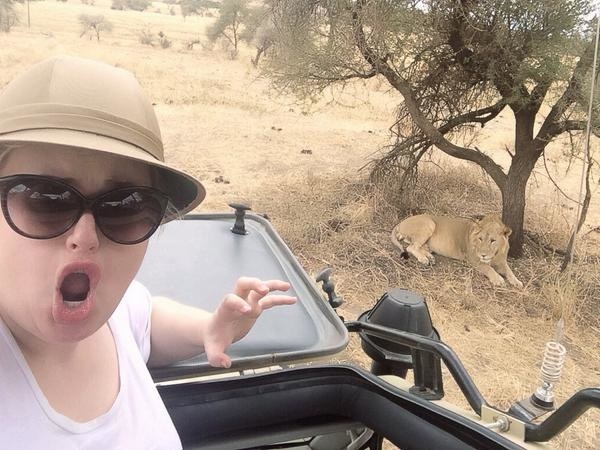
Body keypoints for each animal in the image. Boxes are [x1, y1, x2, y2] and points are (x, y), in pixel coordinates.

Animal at [392, 214, 524, 284]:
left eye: (493, 240)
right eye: (480, 238)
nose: (483, 255)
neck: (494, 254)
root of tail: (401, 223)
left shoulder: (502, 261)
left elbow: (509, 271)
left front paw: (517, 282)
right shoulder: (474, 260)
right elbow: (488, 268)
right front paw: (498, 279)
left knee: (419, 246)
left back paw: (430, 258)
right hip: (429, 223)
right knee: (411, 247)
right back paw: (424, 259)